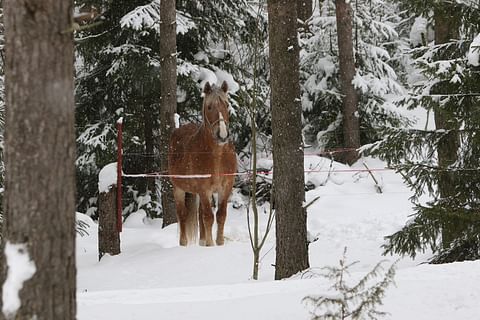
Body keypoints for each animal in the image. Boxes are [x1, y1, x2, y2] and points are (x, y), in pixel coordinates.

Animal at [168, 81, 237, 246]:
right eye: (209, 107)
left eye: (226, 104)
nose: (222, 135)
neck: (217, 156)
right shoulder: (204, 189)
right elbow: (208, 217)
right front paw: (210, 245)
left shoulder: (226, 187)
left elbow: (221, 215)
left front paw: (219, 243)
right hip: (179, 189)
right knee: (183, 214)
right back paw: (184, 243)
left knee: (199, 215)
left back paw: (202, 241)